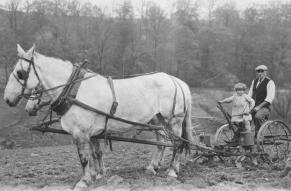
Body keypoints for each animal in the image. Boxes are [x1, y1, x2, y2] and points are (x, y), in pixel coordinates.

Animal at [3, 44, 194, 190]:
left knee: (177, 144)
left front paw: (84, 180)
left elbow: (83, 157)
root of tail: (177, 81)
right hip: (157, 120)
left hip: (174, 120)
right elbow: (96, 153)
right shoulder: (93, 132)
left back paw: (172, 171)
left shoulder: (80, 132)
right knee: (162, 143)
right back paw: (152, 167)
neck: (74, 90)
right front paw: (98, 175)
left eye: (20, 73)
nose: (7, 99)